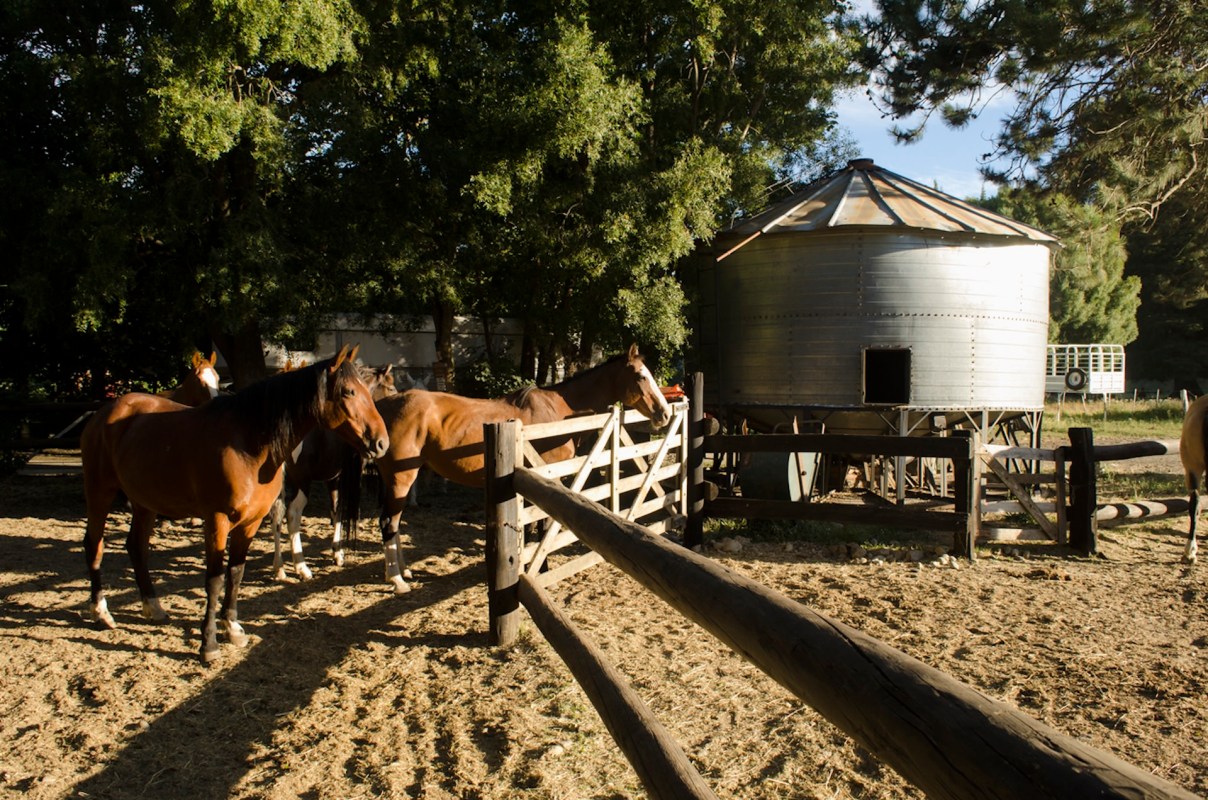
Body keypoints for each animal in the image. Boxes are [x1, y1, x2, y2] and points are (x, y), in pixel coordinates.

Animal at [270, 364, 398, 582]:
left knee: (277, 515)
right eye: (390, 388)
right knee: (292, 515)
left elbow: (335, 510)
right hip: (301, 482)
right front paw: (338, 552)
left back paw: (279, 567)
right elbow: (341, 512)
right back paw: (301, 567)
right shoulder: (347, 476)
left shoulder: (334, 478)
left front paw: (337, 551)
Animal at [367, 345, 676, 594]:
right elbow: (542, 522)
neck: (560, 411)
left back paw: (404, 571)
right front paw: (542, 566)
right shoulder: (548, 475)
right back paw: (397, 580)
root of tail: (383, 407)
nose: (664, 413)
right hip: (400, 478)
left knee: (394, 524)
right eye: (641, 376)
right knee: (388, 522)